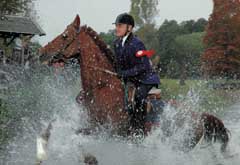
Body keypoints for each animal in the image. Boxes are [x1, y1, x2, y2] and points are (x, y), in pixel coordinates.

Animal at [39, 14, 231, 153]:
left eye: (65, 36)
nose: (42, 53)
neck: (102, 87)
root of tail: (199, 116)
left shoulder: (107, 131)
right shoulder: (93, 127)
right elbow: (73, 133)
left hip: (180, 145)